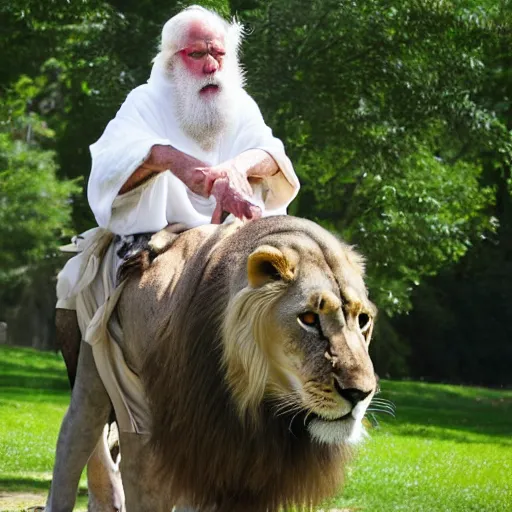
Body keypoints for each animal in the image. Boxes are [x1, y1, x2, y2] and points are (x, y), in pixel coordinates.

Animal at [46, 215, 378, 512]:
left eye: (363, 320)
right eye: (308, 319)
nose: (359, 394)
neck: (257, 406)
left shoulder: (244, 467)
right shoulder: (188, 436)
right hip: (101, 378)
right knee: (78, 440)